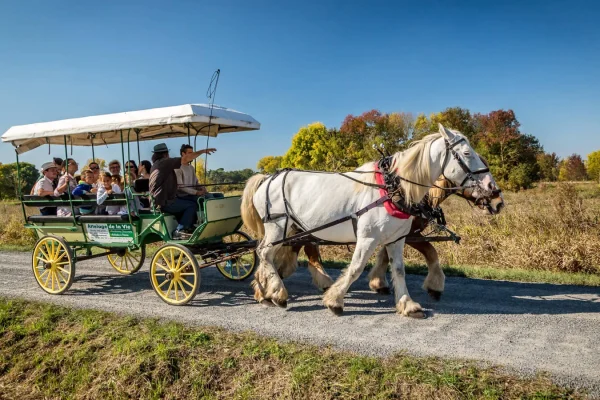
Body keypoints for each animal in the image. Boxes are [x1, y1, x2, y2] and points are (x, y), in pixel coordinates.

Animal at [243, 123, 502, 318]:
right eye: (467, 154)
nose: (493, 189)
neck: (393, 187)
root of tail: (267, 177)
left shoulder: (397, 238)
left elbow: (398, 269)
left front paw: (407, 304)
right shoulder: (368, 238)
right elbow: (356, 267)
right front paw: (335, 300)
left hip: (293, 229)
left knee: (273, 254)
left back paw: (265, 291)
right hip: (278, 226)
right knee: (265, 253)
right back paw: (277, 293)